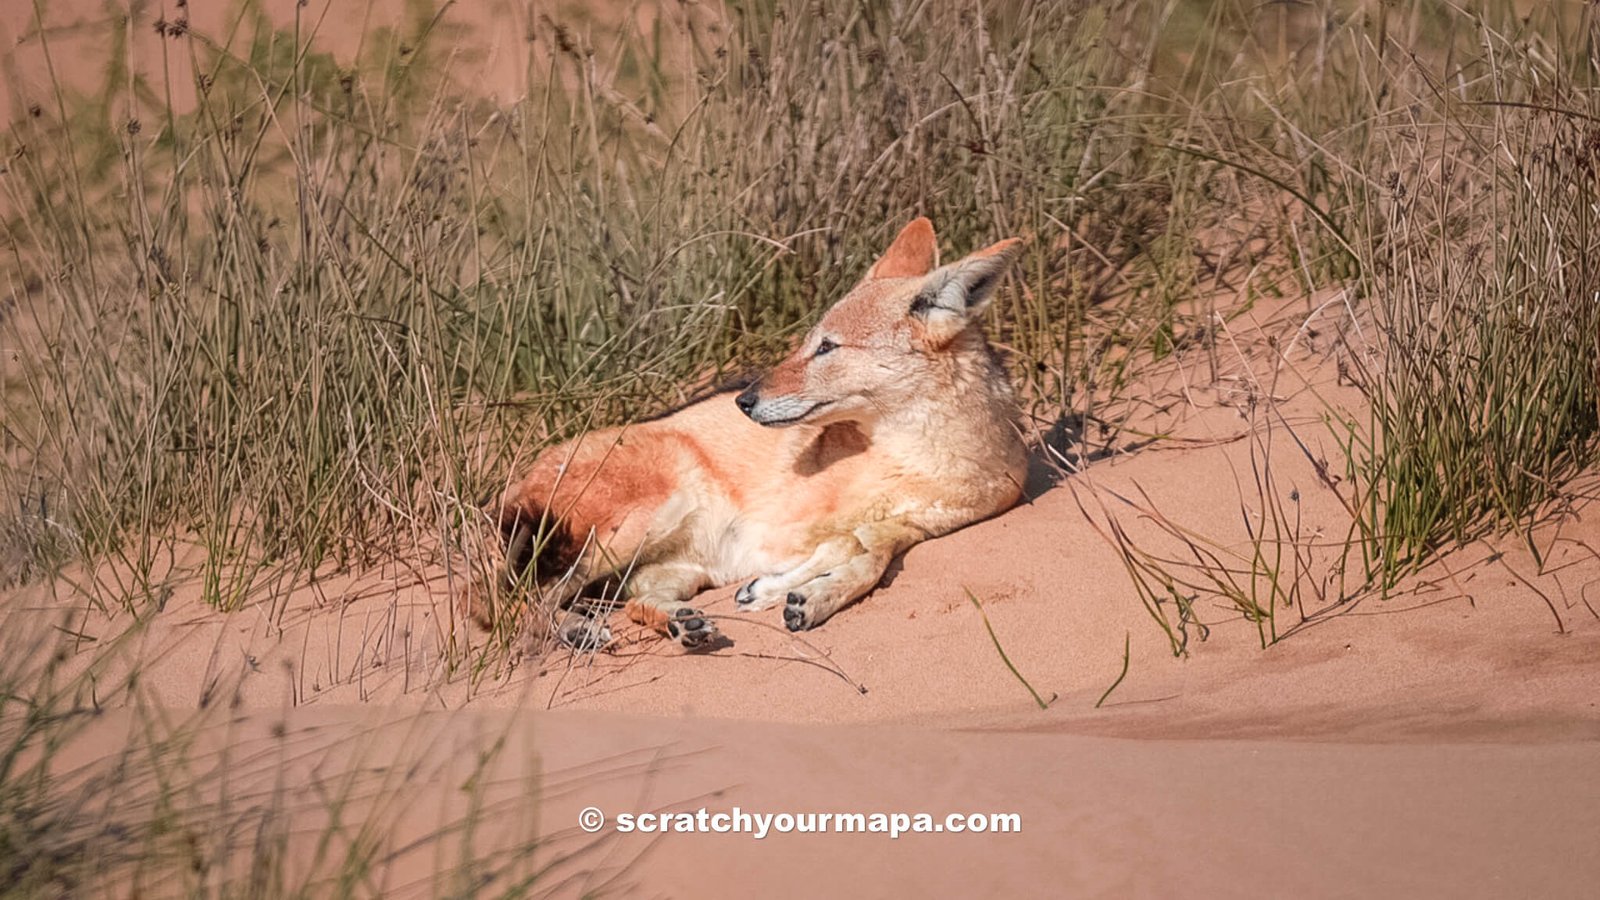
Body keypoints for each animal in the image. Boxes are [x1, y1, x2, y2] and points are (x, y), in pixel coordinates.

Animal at [476, 219, 1024, 650]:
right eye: (808, 343)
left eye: (827, 347)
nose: (744, 399)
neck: (925, 464)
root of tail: (513, 485)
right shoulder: (795, 527)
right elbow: (853, 548)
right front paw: (787, 590)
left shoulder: (915, 524)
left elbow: (870, 550)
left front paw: (803, 593)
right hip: (639, 525)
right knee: (519, 601)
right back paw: (575, 629)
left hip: (676, 569)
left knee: (633, 600)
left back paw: (681, 625)